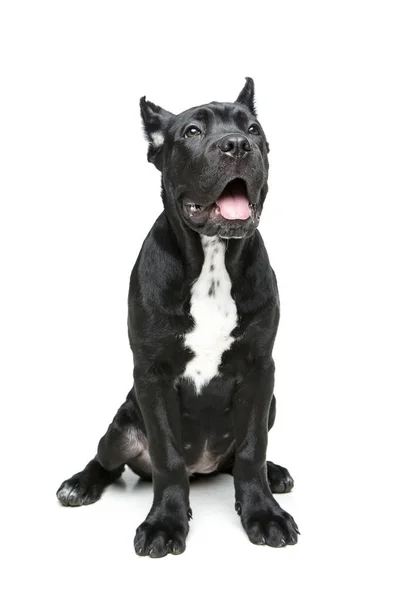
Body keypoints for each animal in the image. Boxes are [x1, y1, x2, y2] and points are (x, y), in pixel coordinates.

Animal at [57, 77, 300, 556]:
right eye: (191, 132)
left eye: (254, 128)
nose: (237, 144)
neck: (212, 259)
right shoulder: (152, 374)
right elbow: (167, 458)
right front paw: (165, 523)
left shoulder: (261, 369)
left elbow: (252, 449)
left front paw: (263, 513)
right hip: (123, 425)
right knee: (108, 460)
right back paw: (81, 483)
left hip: (271, 402)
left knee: (240, 459)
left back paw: (275, 473)